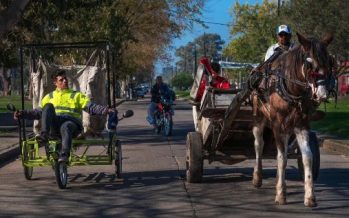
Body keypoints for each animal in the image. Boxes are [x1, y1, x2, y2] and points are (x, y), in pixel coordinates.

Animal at [250, 31, 332, 207]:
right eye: (309, 63)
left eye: (329, 61)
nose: (322, 93)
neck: (291, 88)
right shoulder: (278, 125)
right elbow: (282, 158)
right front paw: (281, 194)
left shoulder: (302, 125)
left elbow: (308, 157)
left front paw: (310, 196)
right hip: (259, 118)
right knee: (259, 145)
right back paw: (257, 177)